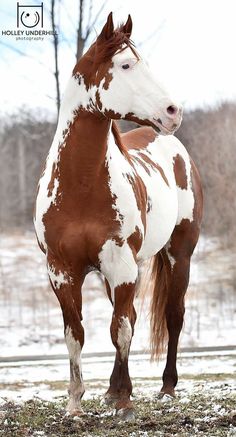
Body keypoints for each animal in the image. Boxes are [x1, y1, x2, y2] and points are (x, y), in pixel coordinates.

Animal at [33, 13, 203, 420]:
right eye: (125, 65)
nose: (173, 111)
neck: (80, 184)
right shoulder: (61, 271)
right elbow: (75, 334)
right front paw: (76, 404)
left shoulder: (120, 264)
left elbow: (121, 329)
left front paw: (125, 402)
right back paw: (111, 390)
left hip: (178, 254)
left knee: (173, 316)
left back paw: (166, 388)